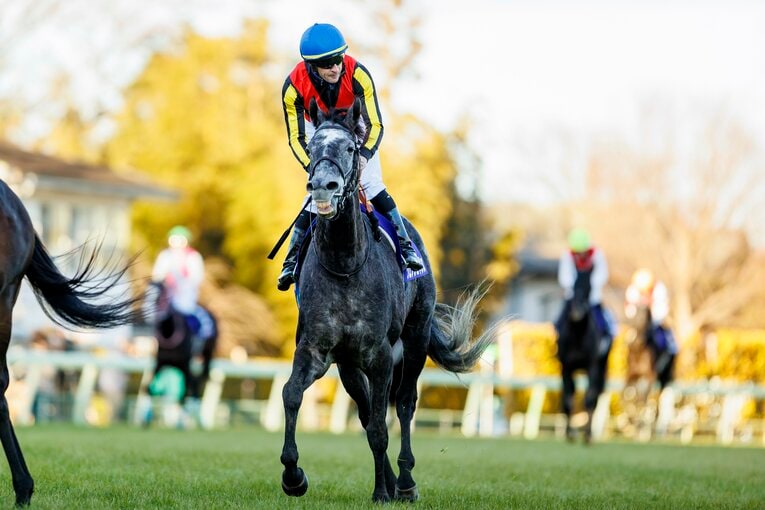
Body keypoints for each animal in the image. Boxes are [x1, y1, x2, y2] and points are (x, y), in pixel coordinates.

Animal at [278, 98, 494, 503]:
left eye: (350, 148)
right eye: (311, 148)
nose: (323, 187)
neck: (344, 263)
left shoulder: (379, 354)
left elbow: (382, 423)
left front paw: (381, 491)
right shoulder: (318, 349)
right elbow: (292, 394)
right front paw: (293, 475)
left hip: (415, 338)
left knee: (405, 403)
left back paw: (405, 481)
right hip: (349, 365)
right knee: (366, 412)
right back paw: (395, 481)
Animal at [555, 267, 611, 443]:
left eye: (589, 288)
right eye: (573, 285)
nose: (577, 311)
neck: (578, 336)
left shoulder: (592, 365)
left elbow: (589, 397)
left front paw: (587, 435)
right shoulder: (566, 367)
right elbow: (567, 398)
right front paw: (570, 434)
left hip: (601, 367)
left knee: (595, 397)